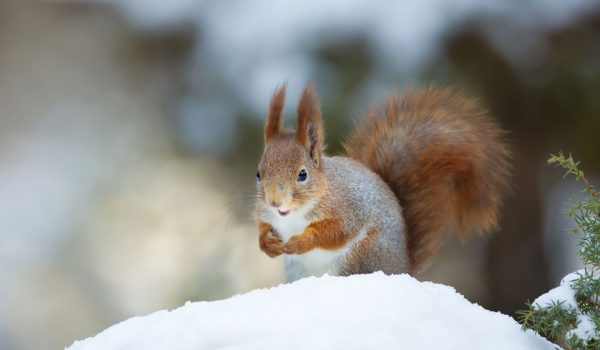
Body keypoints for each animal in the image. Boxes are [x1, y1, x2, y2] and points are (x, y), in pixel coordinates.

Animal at [253, 82, 510, 282]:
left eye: (302, 174)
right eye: (258, 174)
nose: (275, 202)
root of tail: (403, 269)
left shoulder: (348, 208)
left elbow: (336, 232)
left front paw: (301, 241)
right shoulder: (265, 214)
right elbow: (263, 226)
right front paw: (267, 243)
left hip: (362, 257)